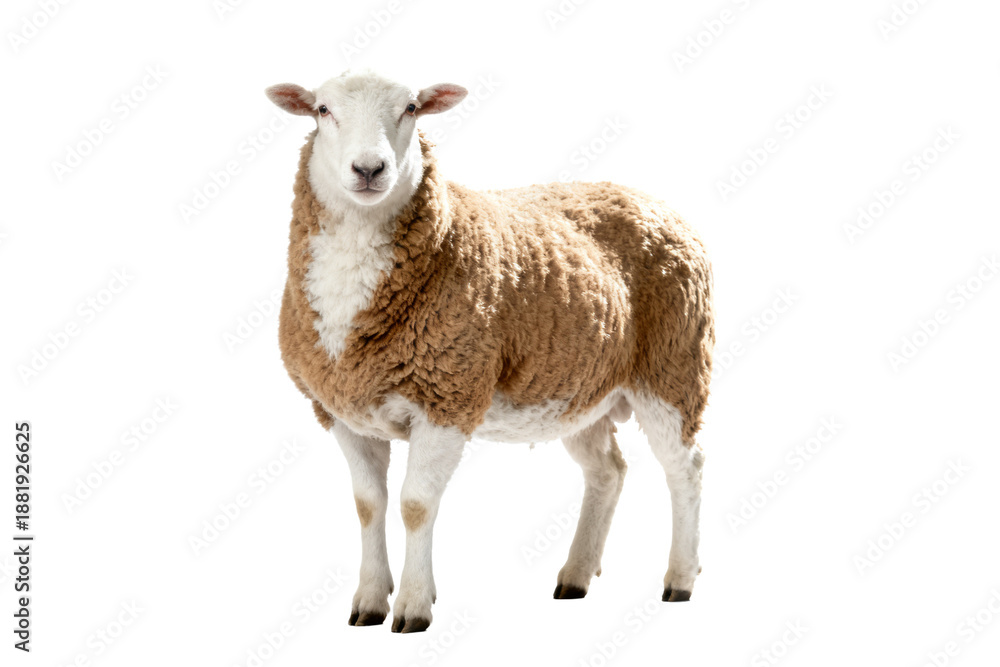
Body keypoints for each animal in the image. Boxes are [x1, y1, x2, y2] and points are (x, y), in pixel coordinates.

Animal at [266, 69, 714, 633]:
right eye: (323, 110)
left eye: (411, 108)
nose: (369, 169)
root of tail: (655, 201)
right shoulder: (341, 410)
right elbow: (369, 504)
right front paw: (369, 601)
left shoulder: (448, 397)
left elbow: (416, 505)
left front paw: (413, 606)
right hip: (580, 387)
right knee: (607, 470)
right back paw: (576, 575)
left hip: (673, 367)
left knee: (685, 467)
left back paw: (680, 580)